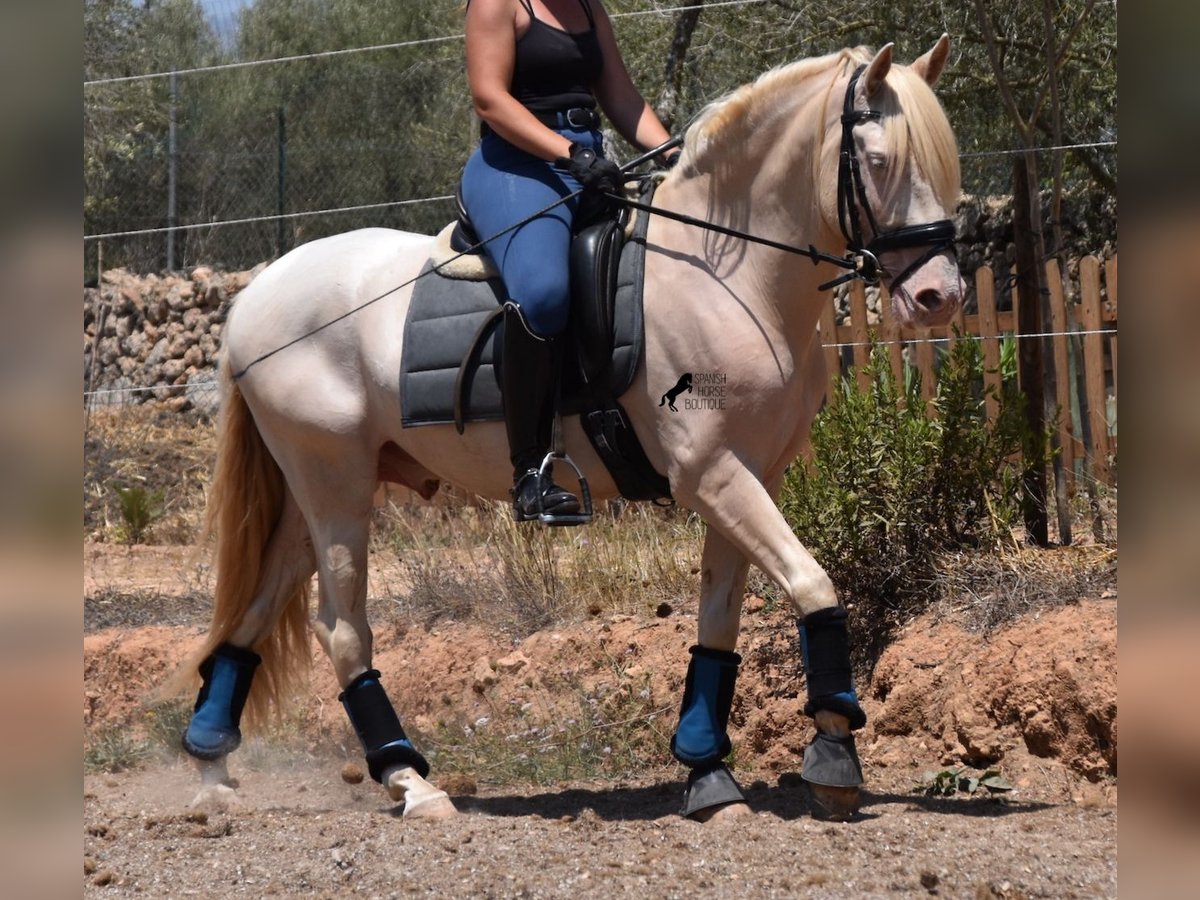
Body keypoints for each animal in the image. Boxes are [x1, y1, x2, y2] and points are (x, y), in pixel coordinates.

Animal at [175, 35, 964, 825]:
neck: (726, 278)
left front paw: (709, 774)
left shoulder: (745, 474)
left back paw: (211, 769)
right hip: (335, 486)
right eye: (879, 160)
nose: (939, 297)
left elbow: (718, 623)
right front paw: (833, 752)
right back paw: (411, 783)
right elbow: (813, 583)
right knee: (342, 629)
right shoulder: (710, 473)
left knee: (253, 611)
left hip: (315, 493)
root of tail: (254, 296)